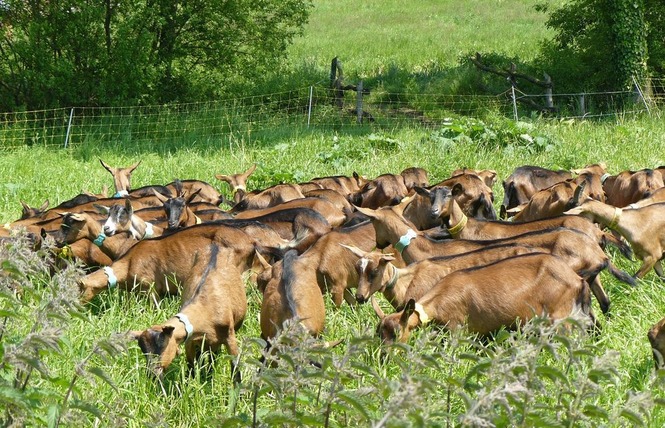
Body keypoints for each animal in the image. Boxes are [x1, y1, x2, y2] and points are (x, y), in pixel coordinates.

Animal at [370, 252, 592, 346]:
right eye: (378, 333)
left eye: (397, 333)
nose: (384, 357)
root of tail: (578, 280)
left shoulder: (457, 328)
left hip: (561, 319)